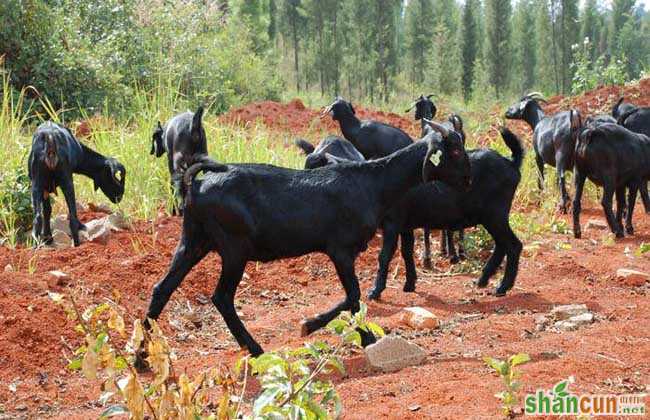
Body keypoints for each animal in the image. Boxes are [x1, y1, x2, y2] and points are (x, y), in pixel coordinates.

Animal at [142, 129, 468, 358]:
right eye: (453, 148)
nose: (468, 180)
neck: (371, 184)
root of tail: (195, 185)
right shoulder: (340, 249)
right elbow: (354, 296)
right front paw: (362, 336)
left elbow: (351, 297)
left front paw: (317, 325)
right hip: (234, 248)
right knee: (221, 297)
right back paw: (255, 348)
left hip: (194, 241)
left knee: (161, 289)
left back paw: (141, 357)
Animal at [368, 124, 524, 298]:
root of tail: (512, 164)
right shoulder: (405, 225)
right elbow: (407, 252)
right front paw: (409, 284)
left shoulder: (392, 223)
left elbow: (385, 256)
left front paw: (375, 291)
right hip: (491, 217)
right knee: (502, 244)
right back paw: (483, 280)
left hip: (495, 215)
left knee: (513, 245)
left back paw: (502, 287)